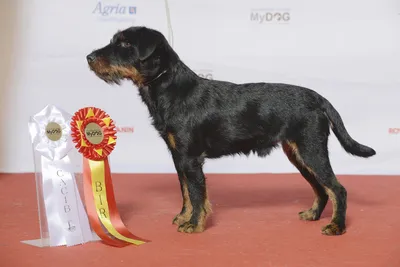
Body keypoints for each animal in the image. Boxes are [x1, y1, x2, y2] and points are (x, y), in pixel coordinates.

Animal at [86, 26, 376, 237]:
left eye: (125, 44)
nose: (89, 58)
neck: (171, 88)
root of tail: (319, 98)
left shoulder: (190, 159)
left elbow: (197, 194)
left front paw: (194, 224)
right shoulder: (178, 157)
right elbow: (185, 192)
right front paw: (183, 216)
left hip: (311, 150)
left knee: (337, 189)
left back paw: (337, 226)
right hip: (299, 154)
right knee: (321, 188)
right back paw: (313, 215)